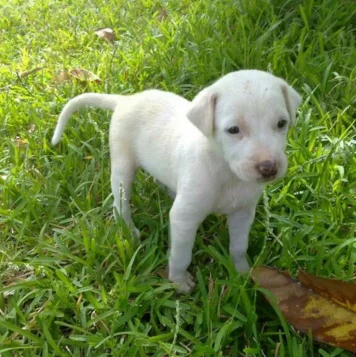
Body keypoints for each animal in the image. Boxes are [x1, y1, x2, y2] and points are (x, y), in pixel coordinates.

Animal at [52, 69, 300, 292]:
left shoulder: (243, 213)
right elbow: (181, 254)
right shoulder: (184, 219)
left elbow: (239, 246)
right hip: (123, 166)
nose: (268, 168)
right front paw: (179, 282)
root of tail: (126, 100)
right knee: (120, 202)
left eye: (282, 123)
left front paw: (242, 272)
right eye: (233, 129)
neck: (226, 172)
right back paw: (128, 228)